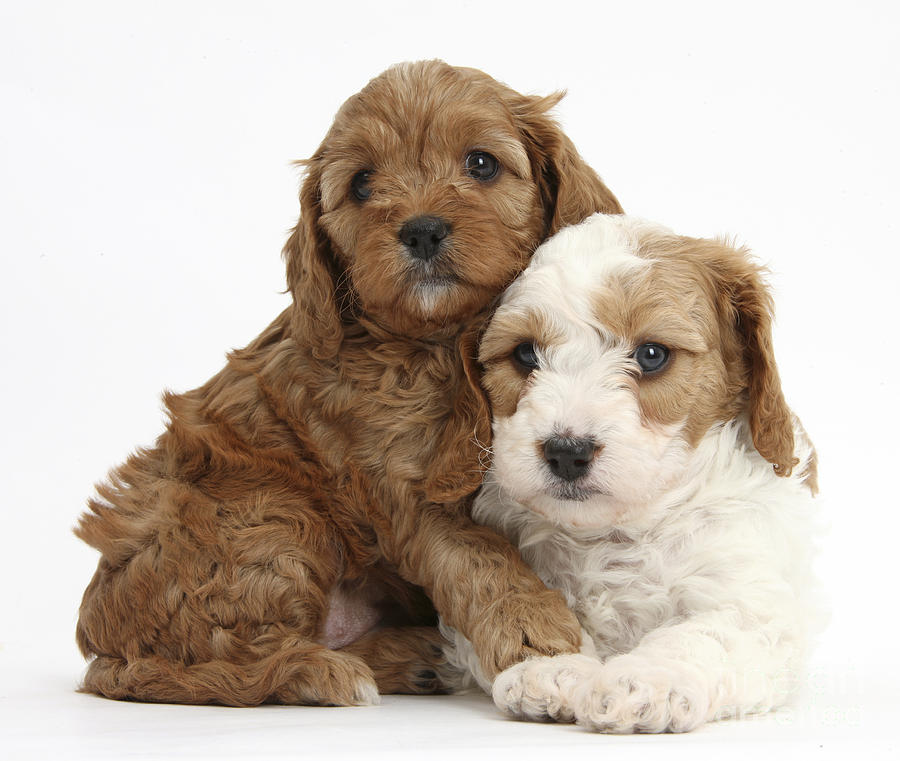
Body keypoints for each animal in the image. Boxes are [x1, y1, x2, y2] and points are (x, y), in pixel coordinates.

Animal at [74, 60, 624, 708]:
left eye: (482, 163)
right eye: (362, 184)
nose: (421, 230)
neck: (442, 341)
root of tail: (102, 650)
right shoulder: (402, 487)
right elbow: (478, 555)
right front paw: (536, 629)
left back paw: (418, 658)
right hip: (269, 514)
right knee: (232, 663)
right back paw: (324, 673)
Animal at [442, 212, 824, 732]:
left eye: (651, 355)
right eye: (524, 355)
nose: (567, 451)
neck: (616, 532)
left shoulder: (749, 600)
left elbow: (703, 636)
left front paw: (646, 681)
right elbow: (518, 611)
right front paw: (553, 667)